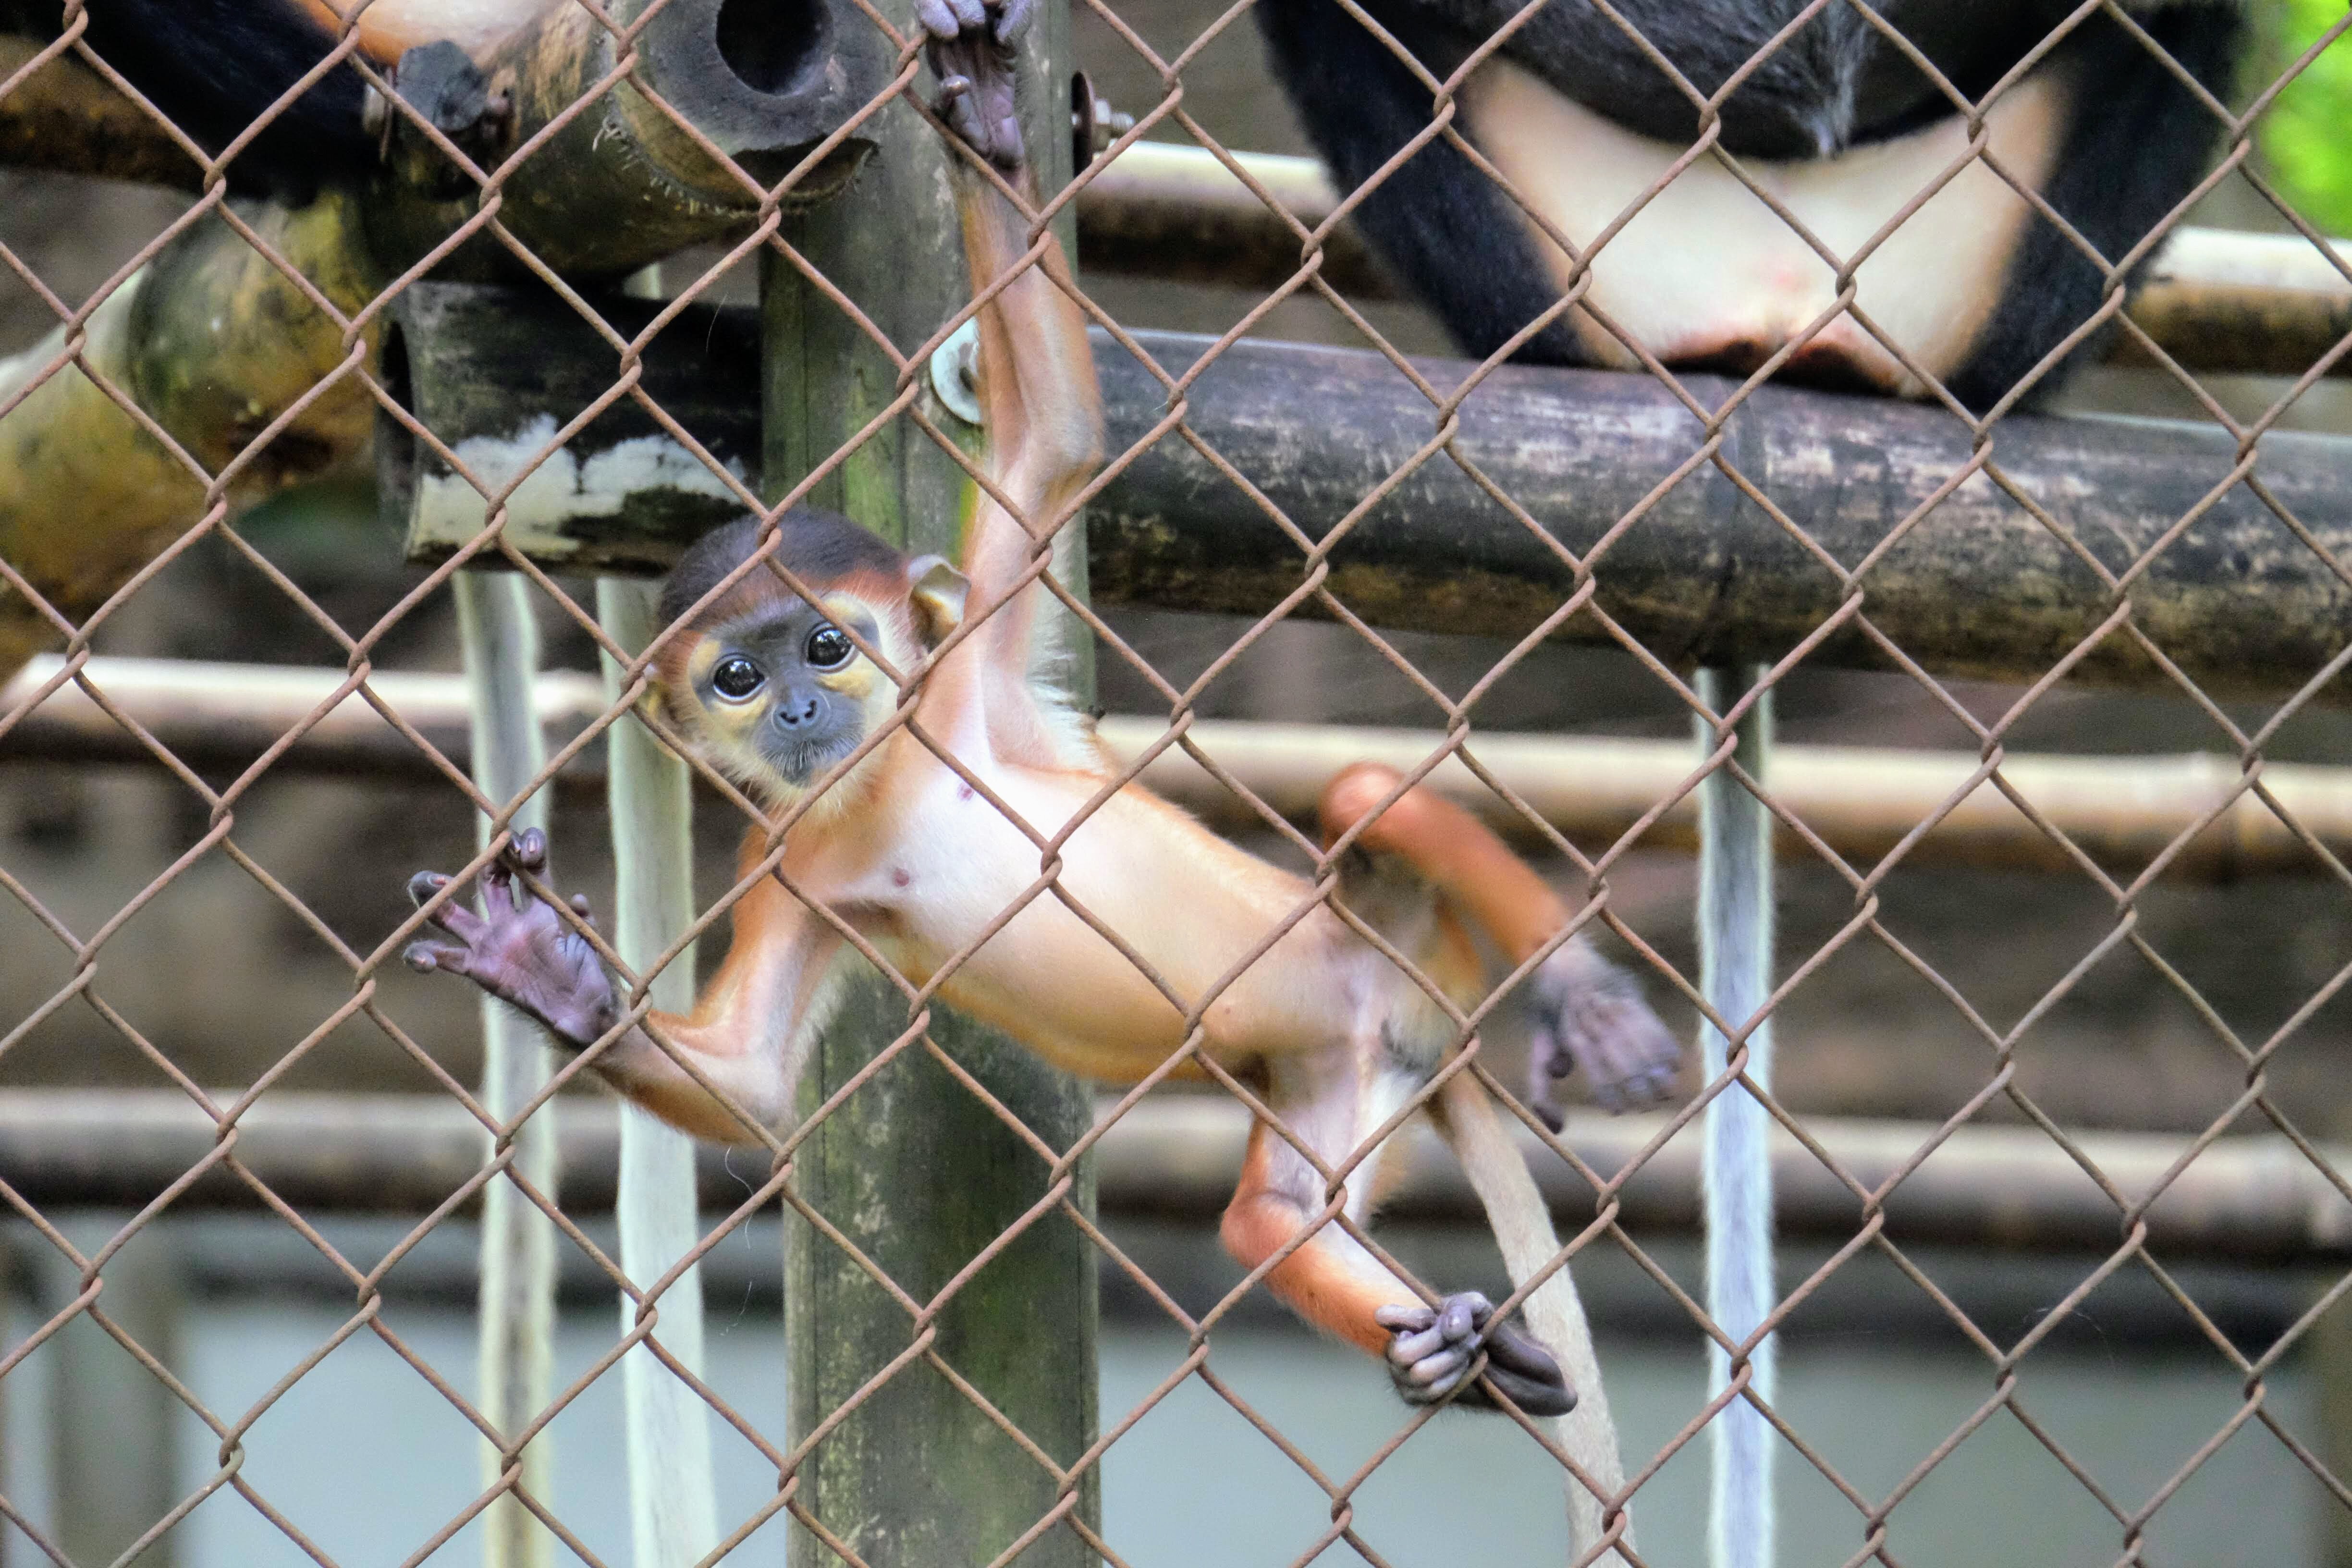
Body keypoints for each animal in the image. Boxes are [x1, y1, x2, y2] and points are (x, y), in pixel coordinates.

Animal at [404, 0, 1684, 1542]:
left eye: (825, 645)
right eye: (736, 678)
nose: (796, 713)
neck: (887, 788)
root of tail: (1416, 1021)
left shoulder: (972, 675)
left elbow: (1060, 444)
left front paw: (996, 130)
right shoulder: (793, 859)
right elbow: (755, 1088)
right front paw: (548, 974)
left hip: (1380, 937)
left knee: (1367, 799)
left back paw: (1580, 1001)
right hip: (1333, 1073)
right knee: (1268, 1219)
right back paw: (1465, 1354)